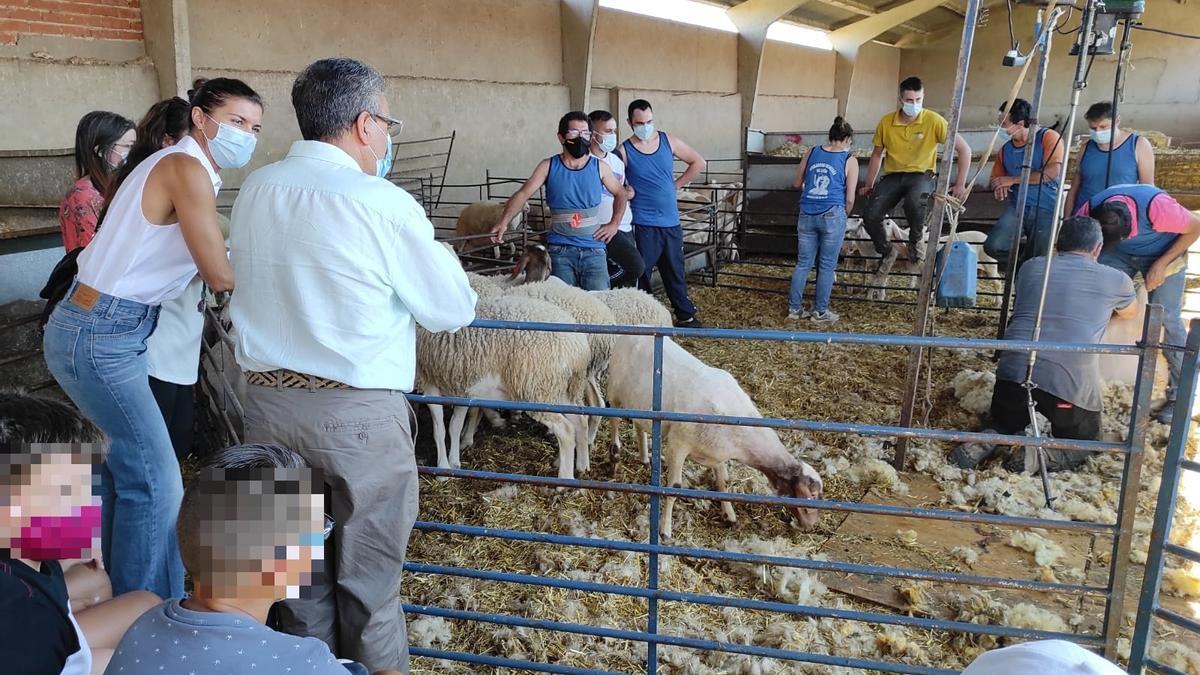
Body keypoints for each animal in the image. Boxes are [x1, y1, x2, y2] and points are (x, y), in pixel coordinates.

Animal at [415, 294, 592, 478]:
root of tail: (579, 347)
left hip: (536, 390)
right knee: (581, 422)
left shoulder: (429, 383)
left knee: (566, 430)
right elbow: (454, 427)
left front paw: (443, 469)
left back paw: (564, 477)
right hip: (560, 390)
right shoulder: (461, 387)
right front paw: (454, 463)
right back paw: (580, 466)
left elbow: (440, 430)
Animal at [604, 333, 820, 538]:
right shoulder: (678, 444)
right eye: (811, 496)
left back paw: (644, 458)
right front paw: (665, 531)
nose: (811, 526)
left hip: (638, 401)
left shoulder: (717, 453)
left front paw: (730, 516)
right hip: (614, 393)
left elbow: (724, 482)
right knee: (614, 421)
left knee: (639, 425)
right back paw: (615, 456)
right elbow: (673, 487)